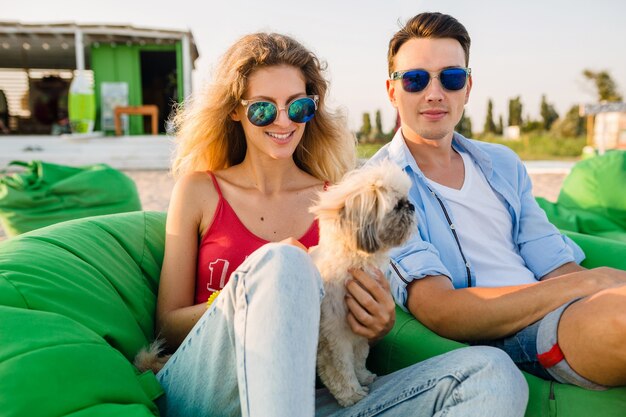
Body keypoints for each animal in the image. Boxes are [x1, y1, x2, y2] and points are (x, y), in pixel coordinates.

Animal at [308, 160, 414, 406]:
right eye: (397, 205)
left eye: (407, 200)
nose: (412, 206)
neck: (356, 261)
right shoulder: (333, 335)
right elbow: (340, 368)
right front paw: (351, 394)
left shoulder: (358, 328)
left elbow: (359, 355)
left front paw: (363, 376)